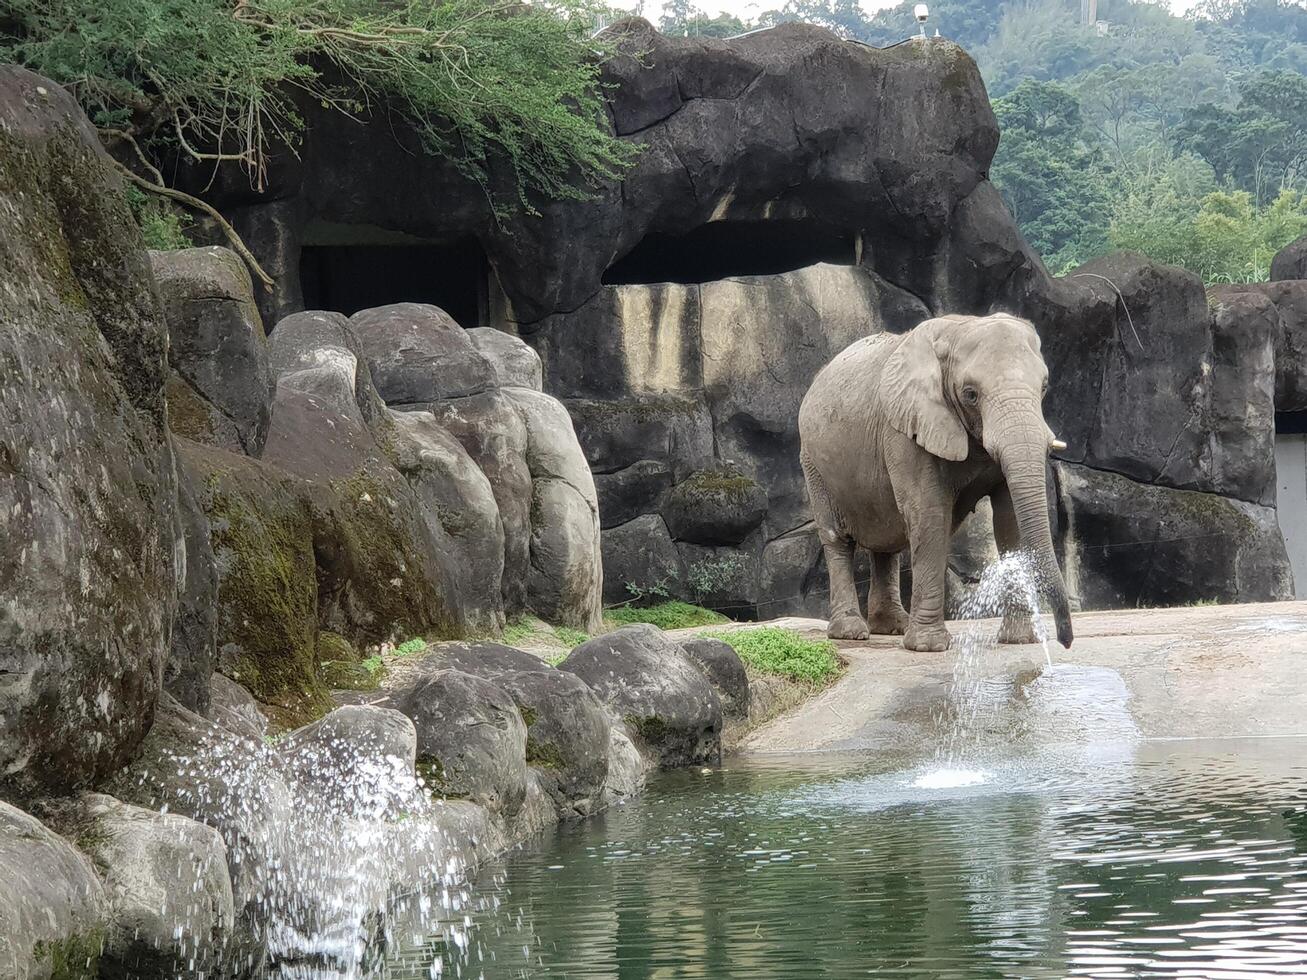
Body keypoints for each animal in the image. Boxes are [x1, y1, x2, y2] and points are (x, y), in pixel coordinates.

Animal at [794, 314, 1071, 653]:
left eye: (1044, 387)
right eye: (970, 394)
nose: (1065, 641)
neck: (959, 330)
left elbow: (1010, 520)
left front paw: (1020, 641)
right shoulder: (905, 429)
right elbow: (929, 512)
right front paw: (928, 647)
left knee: (887, 539)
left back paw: (892, 628)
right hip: (813, 463)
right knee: (838, 539)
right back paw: (851, 632)